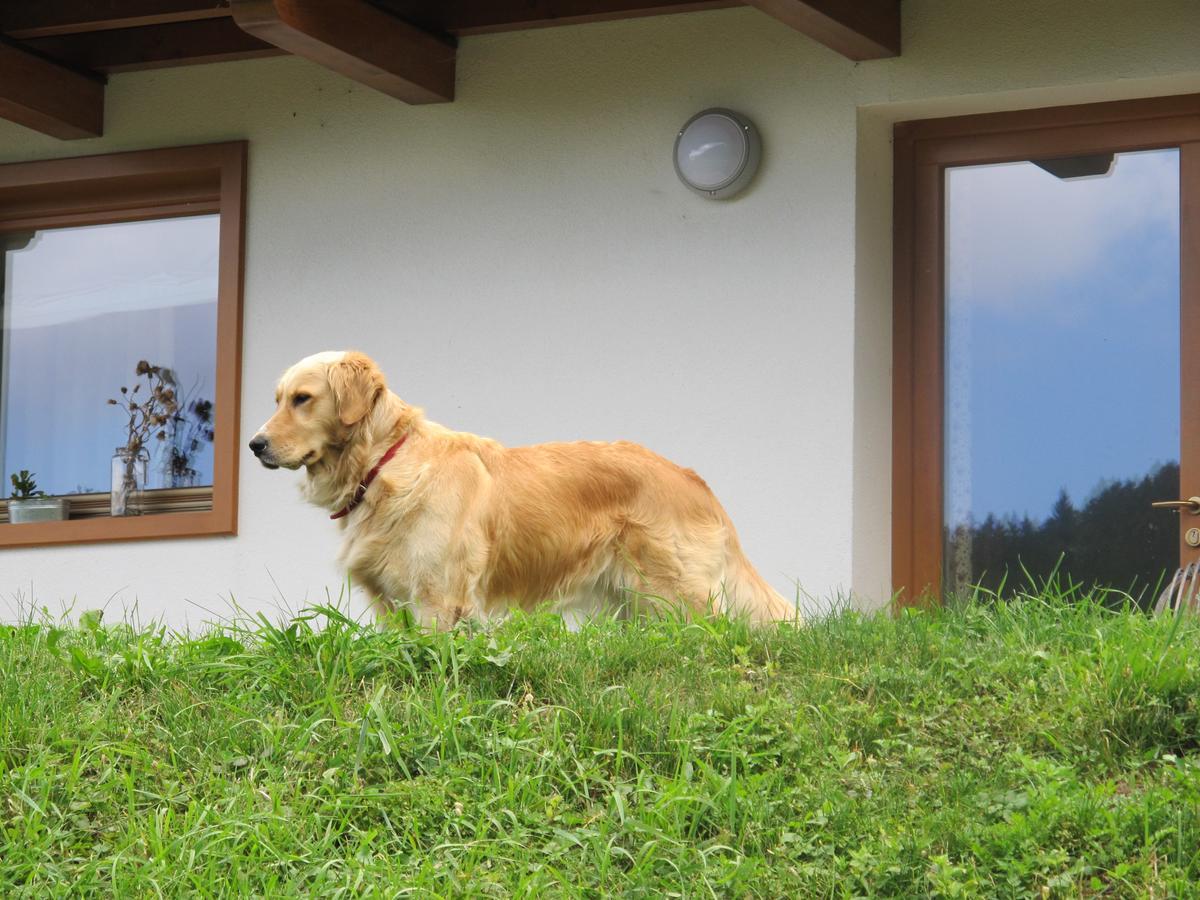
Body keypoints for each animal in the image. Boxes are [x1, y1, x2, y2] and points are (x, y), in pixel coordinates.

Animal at [250, 348, 796, 628]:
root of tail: (690, 476)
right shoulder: (390, 604)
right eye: (276, 399)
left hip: (676, 591)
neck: (386, 461)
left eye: (302, 399)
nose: (255, 445)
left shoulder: (436, 600)